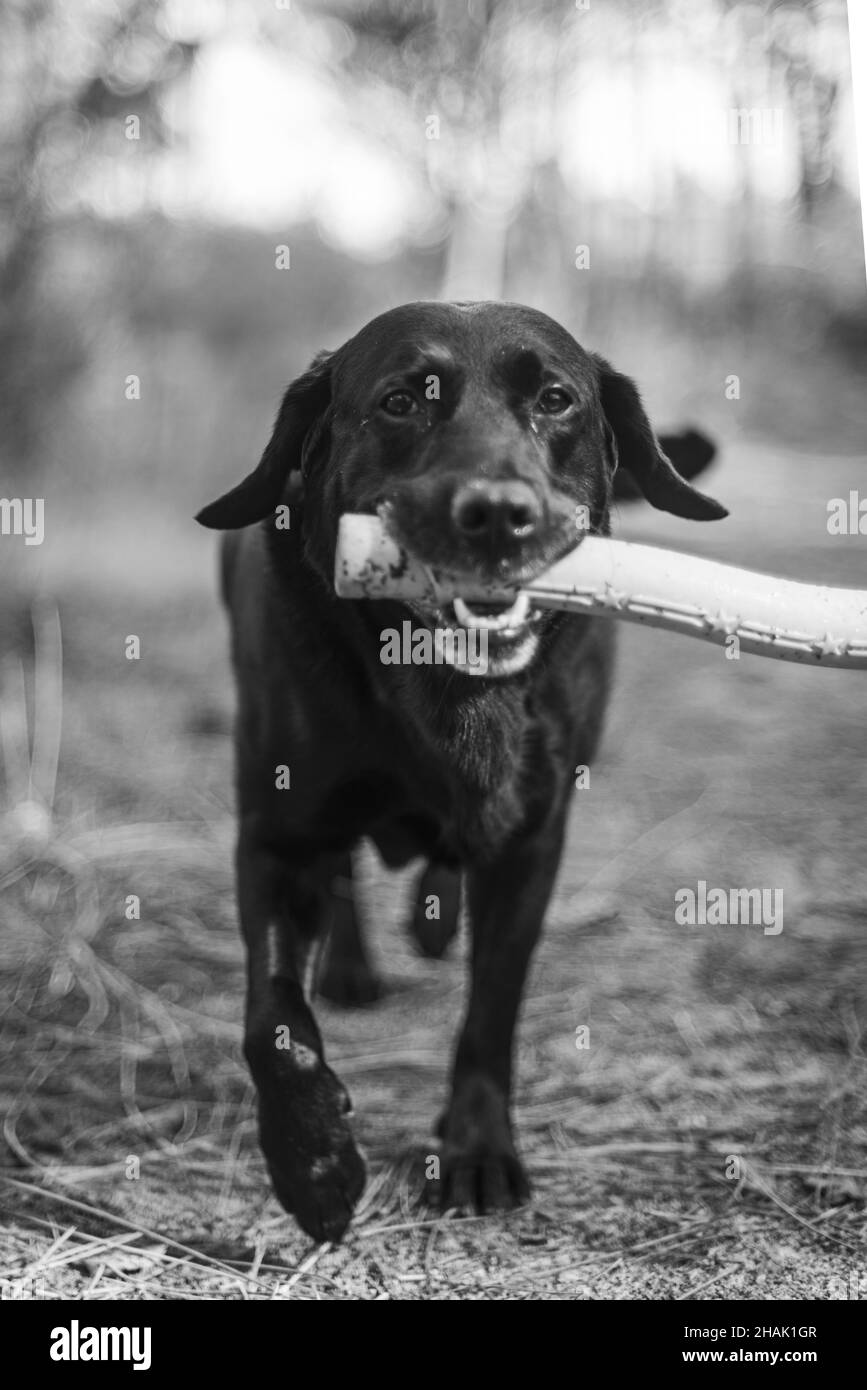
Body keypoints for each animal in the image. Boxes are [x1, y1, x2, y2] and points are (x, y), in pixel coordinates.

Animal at [195, 301, 722, 1239]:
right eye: (401, 401)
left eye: (555, 399)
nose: (497, 512)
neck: (444, 691)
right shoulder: (277, 833)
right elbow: (273, 1021)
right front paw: (314, 1165)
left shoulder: (531, 840)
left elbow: (491, 1008)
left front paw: (475, 1149)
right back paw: (355, 966)